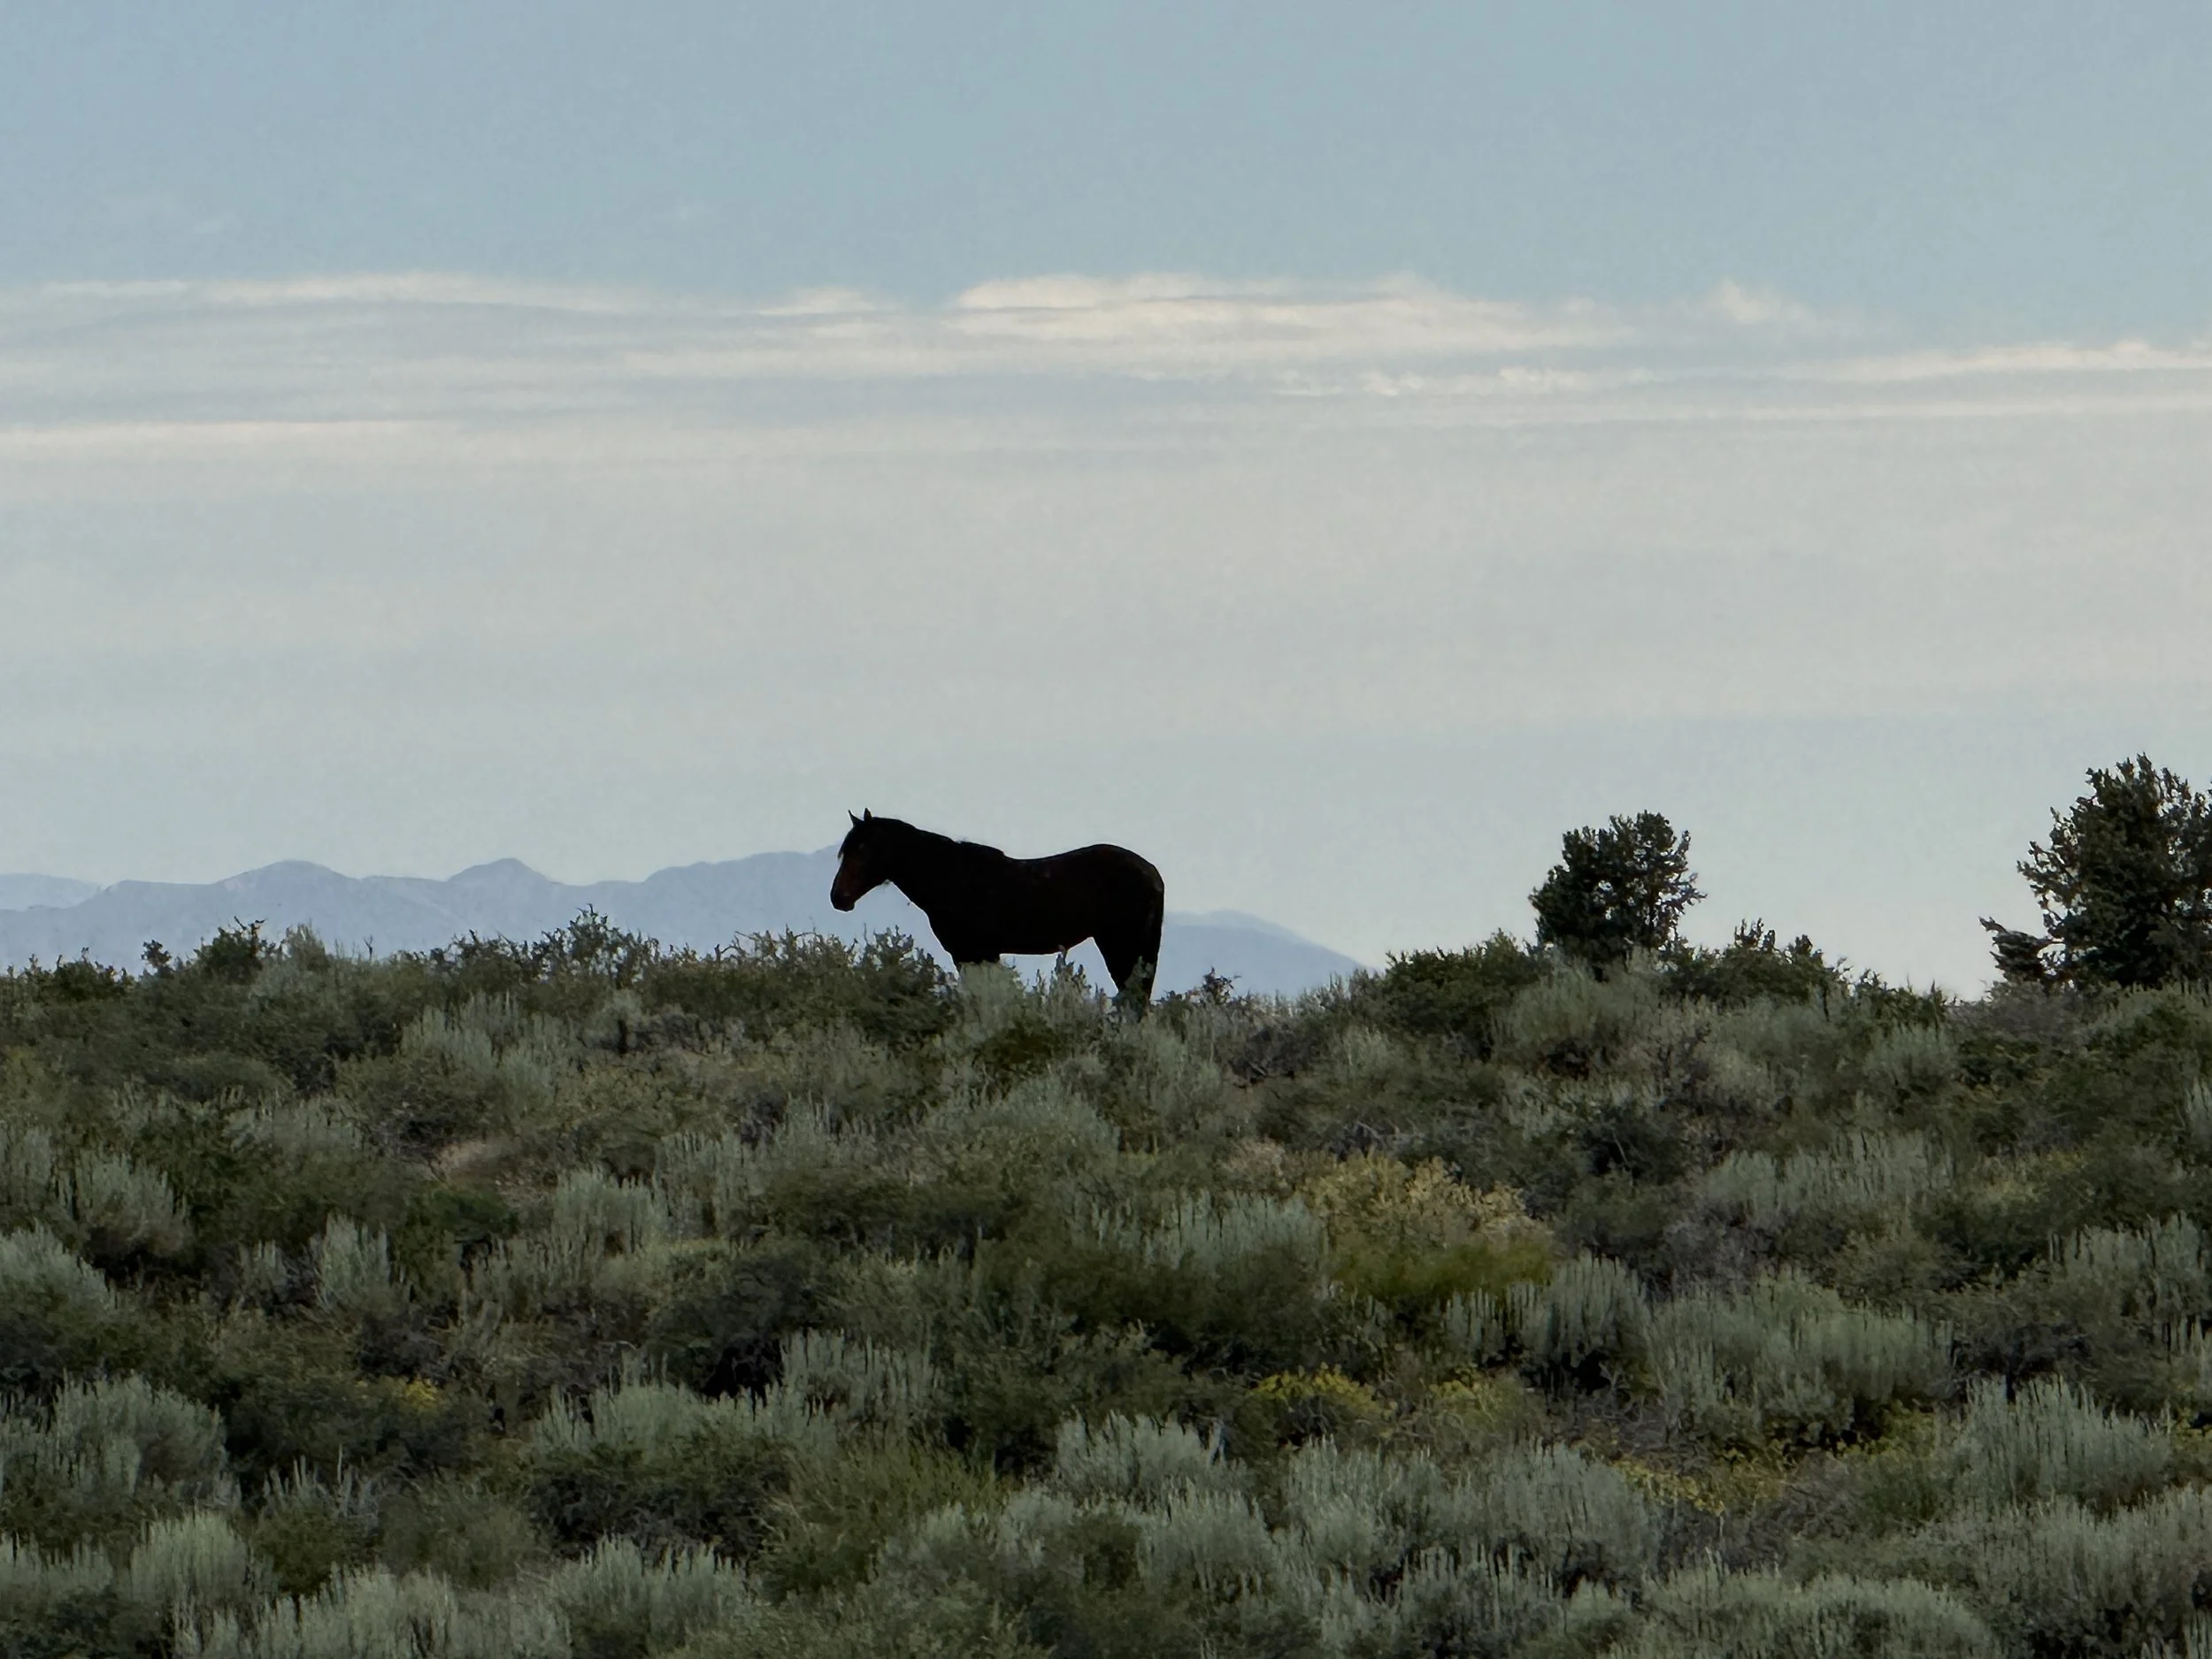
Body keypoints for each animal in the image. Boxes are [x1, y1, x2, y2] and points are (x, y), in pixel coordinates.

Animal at [829, 811, 1165, 1011]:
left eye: (865, 849)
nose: (838, 897)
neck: (952, 879)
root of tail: (1153, 874)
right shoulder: (973, 956)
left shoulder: (975, 953)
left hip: (1121, 948)